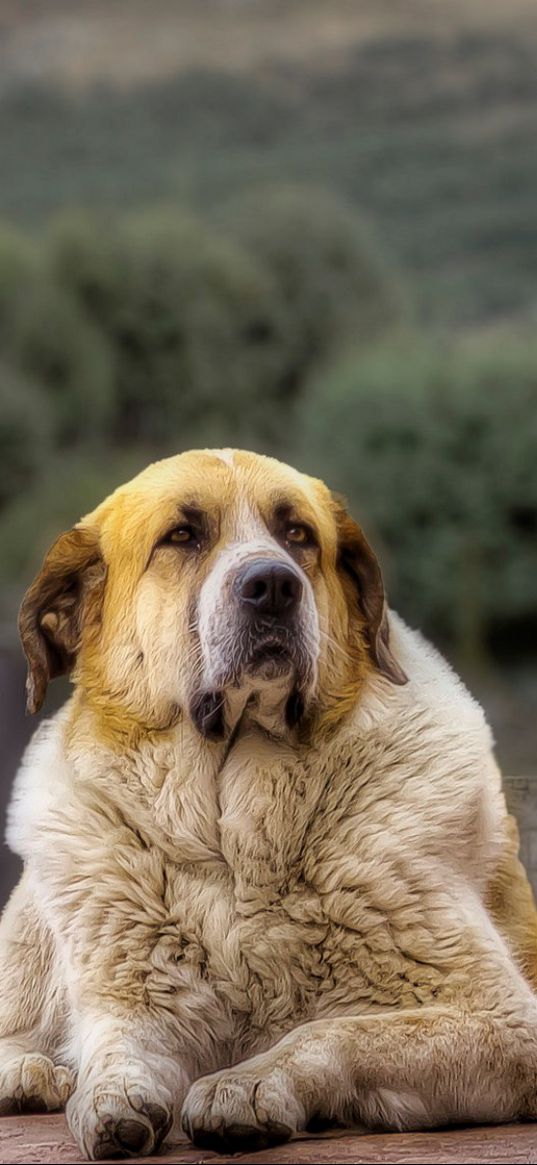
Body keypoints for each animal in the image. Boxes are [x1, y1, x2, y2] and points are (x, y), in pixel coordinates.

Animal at [1, 447, 535, 1155]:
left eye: (298, 534)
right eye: (182, 536)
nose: (274, 585)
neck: (235, 851)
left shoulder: (501, 1018)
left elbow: (335, 1030)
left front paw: (249, 1085)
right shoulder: (133, 1000)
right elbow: (118, 1045)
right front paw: (108, 1094)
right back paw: (30, 1071)